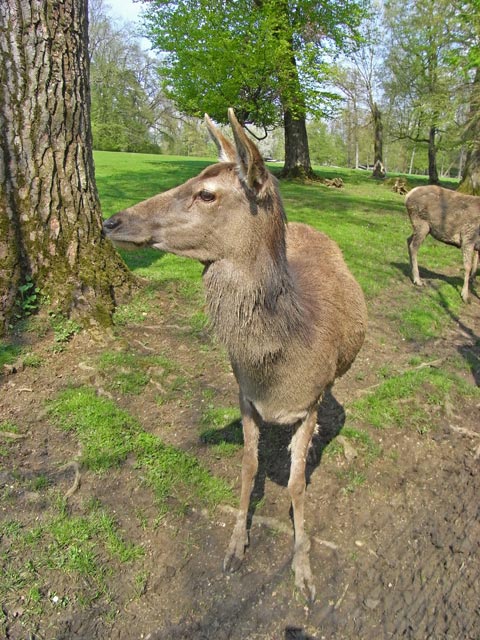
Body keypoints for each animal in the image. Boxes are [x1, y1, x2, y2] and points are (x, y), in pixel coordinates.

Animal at [102, 107, 368, 604]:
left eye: (206, 193)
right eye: (189, 178)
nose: (111, 221)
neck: (280, 368)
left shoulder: (310, 399)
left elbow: (297, 483)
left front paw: (303, 571)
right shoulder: (244, 392)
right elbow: (248, 465)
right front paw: (234, 546)